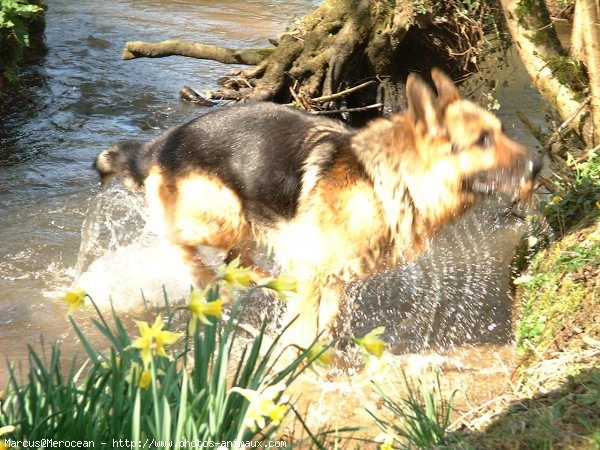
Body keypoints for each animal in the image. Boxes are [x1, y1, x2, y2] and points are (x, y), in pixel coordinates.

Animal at [95, 70, 544, 342]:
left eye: (501, 132)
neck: (388, 179)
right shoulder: (316, 271)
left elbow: (323, 323)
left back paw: (270, 282)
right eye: (482, 141)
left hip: (248, 227)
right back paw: (200, 274)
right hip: (223, 216)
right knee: (176, 238)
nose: (538, 165)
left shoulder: (331, 277)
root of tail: (158, 145)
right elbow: (306, 331)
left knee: (242, 262)